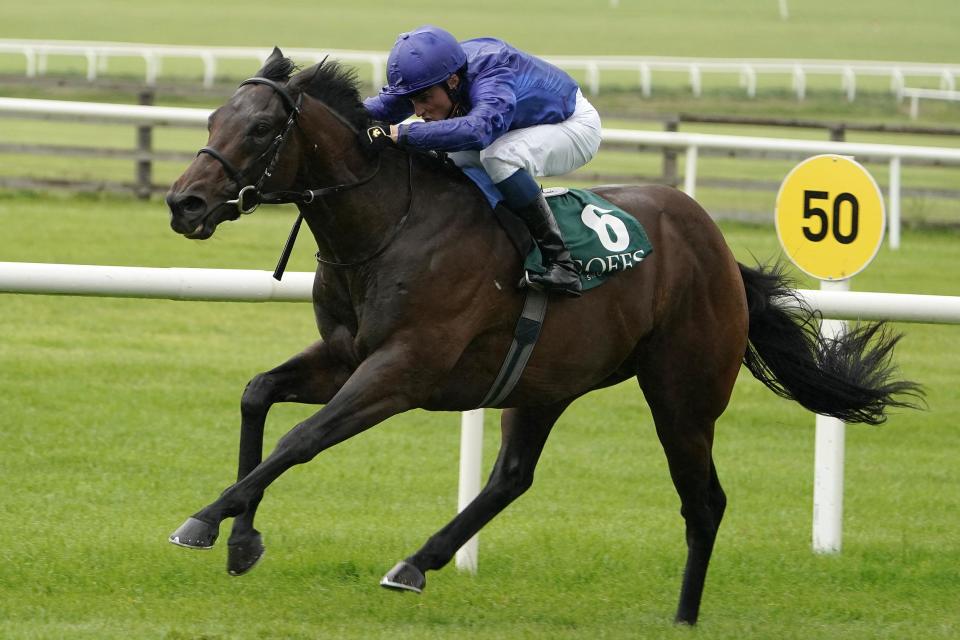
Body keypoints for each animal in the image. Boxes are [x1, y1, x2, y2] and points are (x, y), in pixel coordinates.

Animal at [165, 51, 924, 624]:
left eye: (262, 129)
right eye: (213, 118)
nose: (184, 203)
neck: (392, 225)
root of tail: (716, 246)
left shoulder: (403, 370)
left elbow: (302, 439)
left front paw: (204, 519)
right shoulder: (346, 355)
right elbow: (258, 395)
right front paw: (241, 539)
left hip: (683, 394)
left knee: (703, 502)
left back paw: (683, 617)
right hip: (544, 382)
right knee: (512, 476)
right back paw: (416, 563)